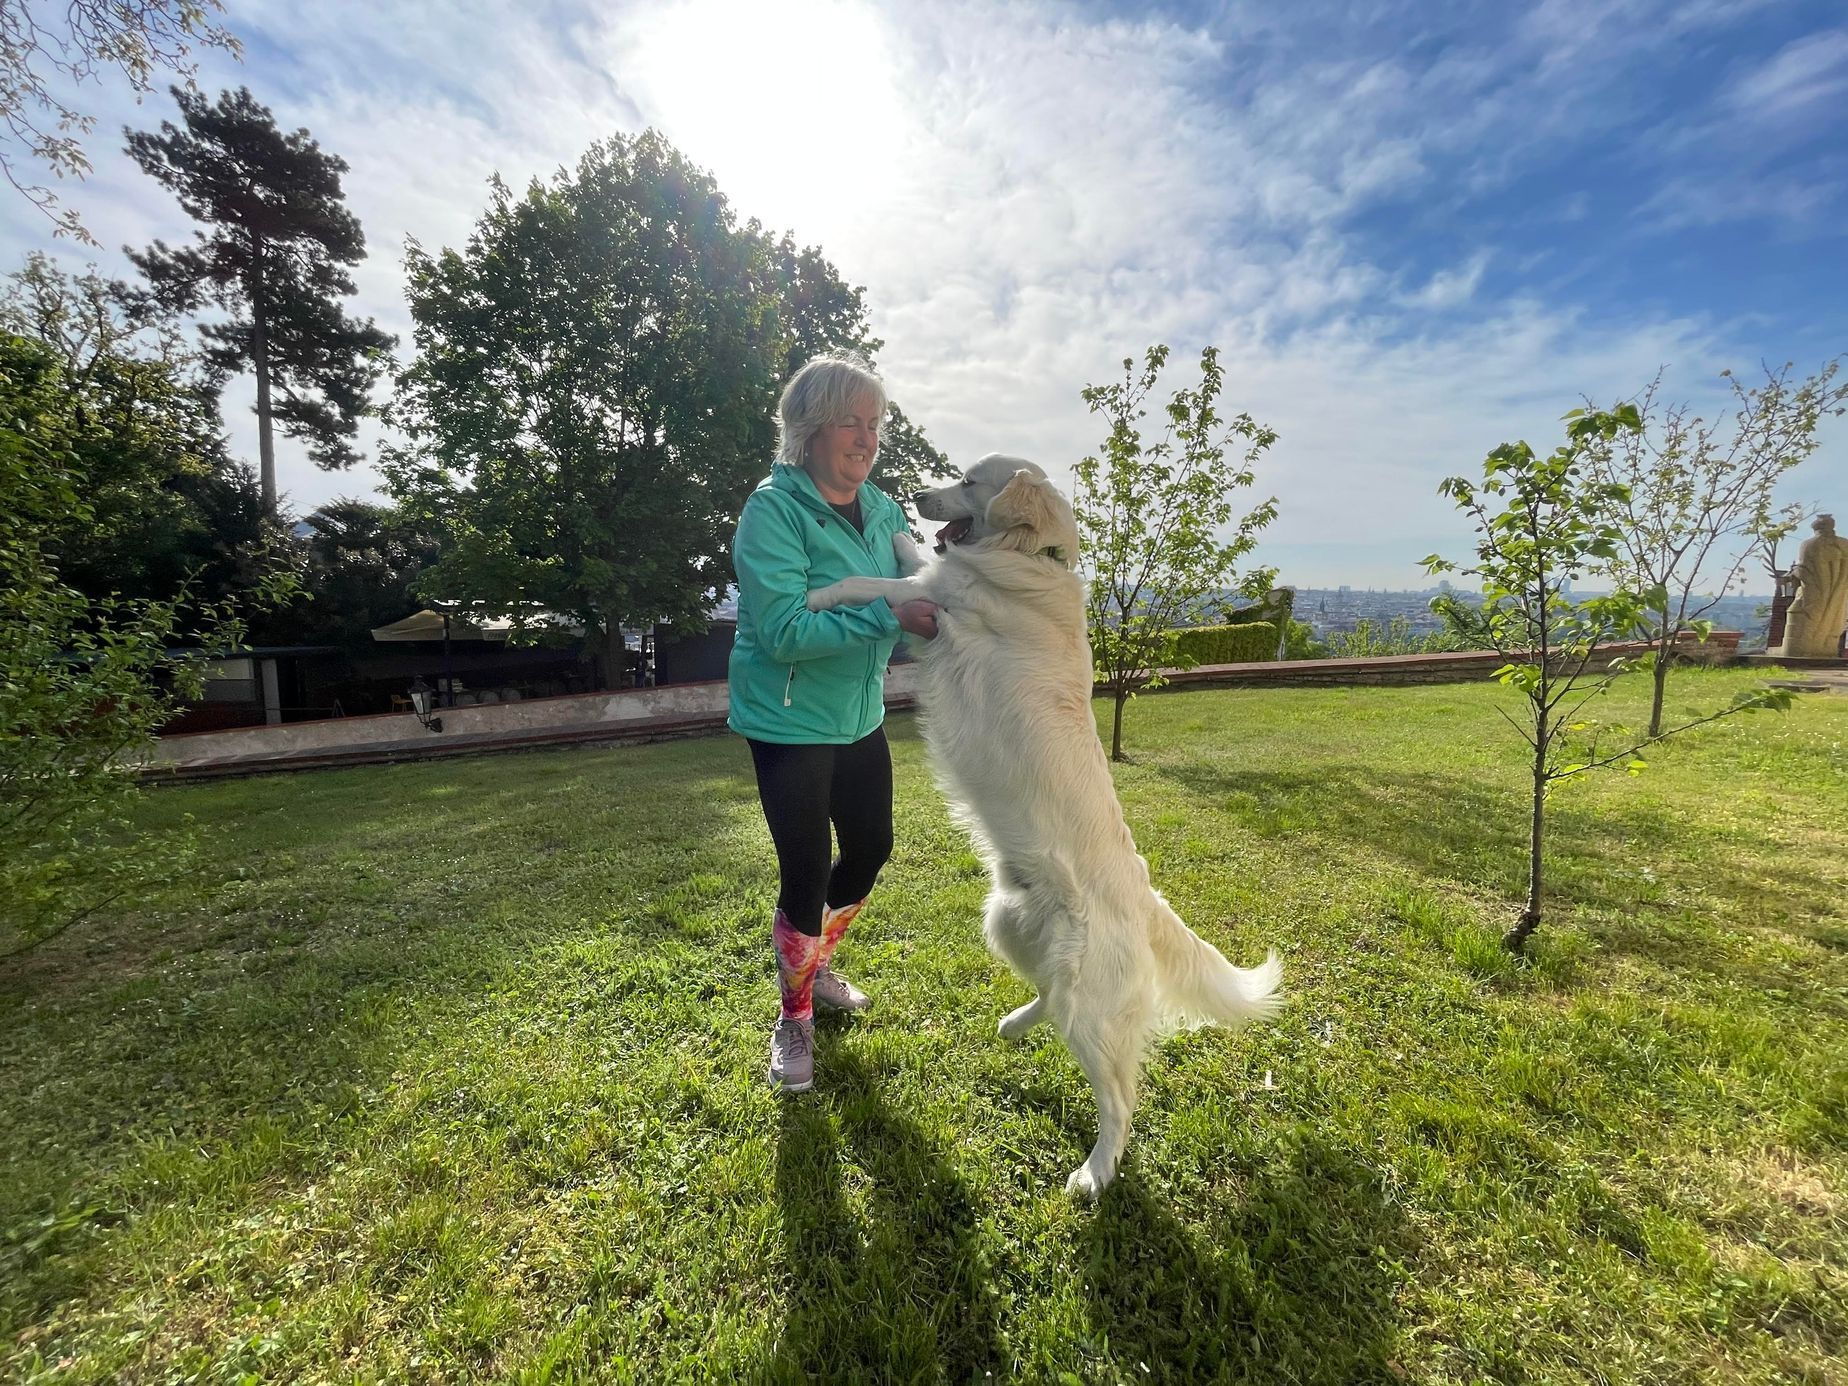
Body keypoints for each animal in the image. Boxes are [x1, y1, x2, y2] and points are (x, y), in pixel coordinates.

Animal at [809, 452, 1286, 1197]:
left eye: (970, 481)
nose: (917, 495)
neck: (1032, 557)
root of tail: (1147, 901)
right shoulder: (936, 590)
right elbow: (914, 558)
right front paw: (900, 533)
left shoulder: (941, 605)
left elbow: (878, 580)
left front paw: (824, 595)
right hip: (1008, 922)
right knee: (1047, 998)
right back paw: (1014, 1024)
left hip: (1088, 1004)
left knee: (1118, 1098)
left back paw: (1095, 1173)